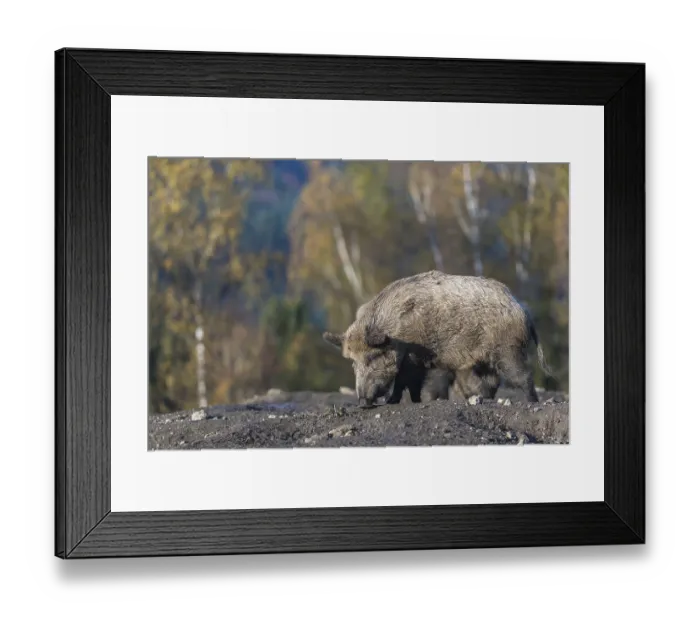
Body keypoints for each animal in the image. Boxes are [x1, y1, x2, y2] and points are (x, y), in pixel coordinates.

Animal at [323, 270, 551, 407]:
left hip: (508, 350)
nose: (362, 402)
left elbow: (405, 382)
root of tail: (523, 310)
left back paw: (532, 402)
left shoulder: (413, 359)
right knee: (491, 382)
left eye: (371, 358)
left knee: (523, 376)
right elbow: (411, 384)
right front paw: (411, 401)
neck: (395, 334)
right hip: (486, 361)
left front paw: (393, 402)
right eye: (353, 362)